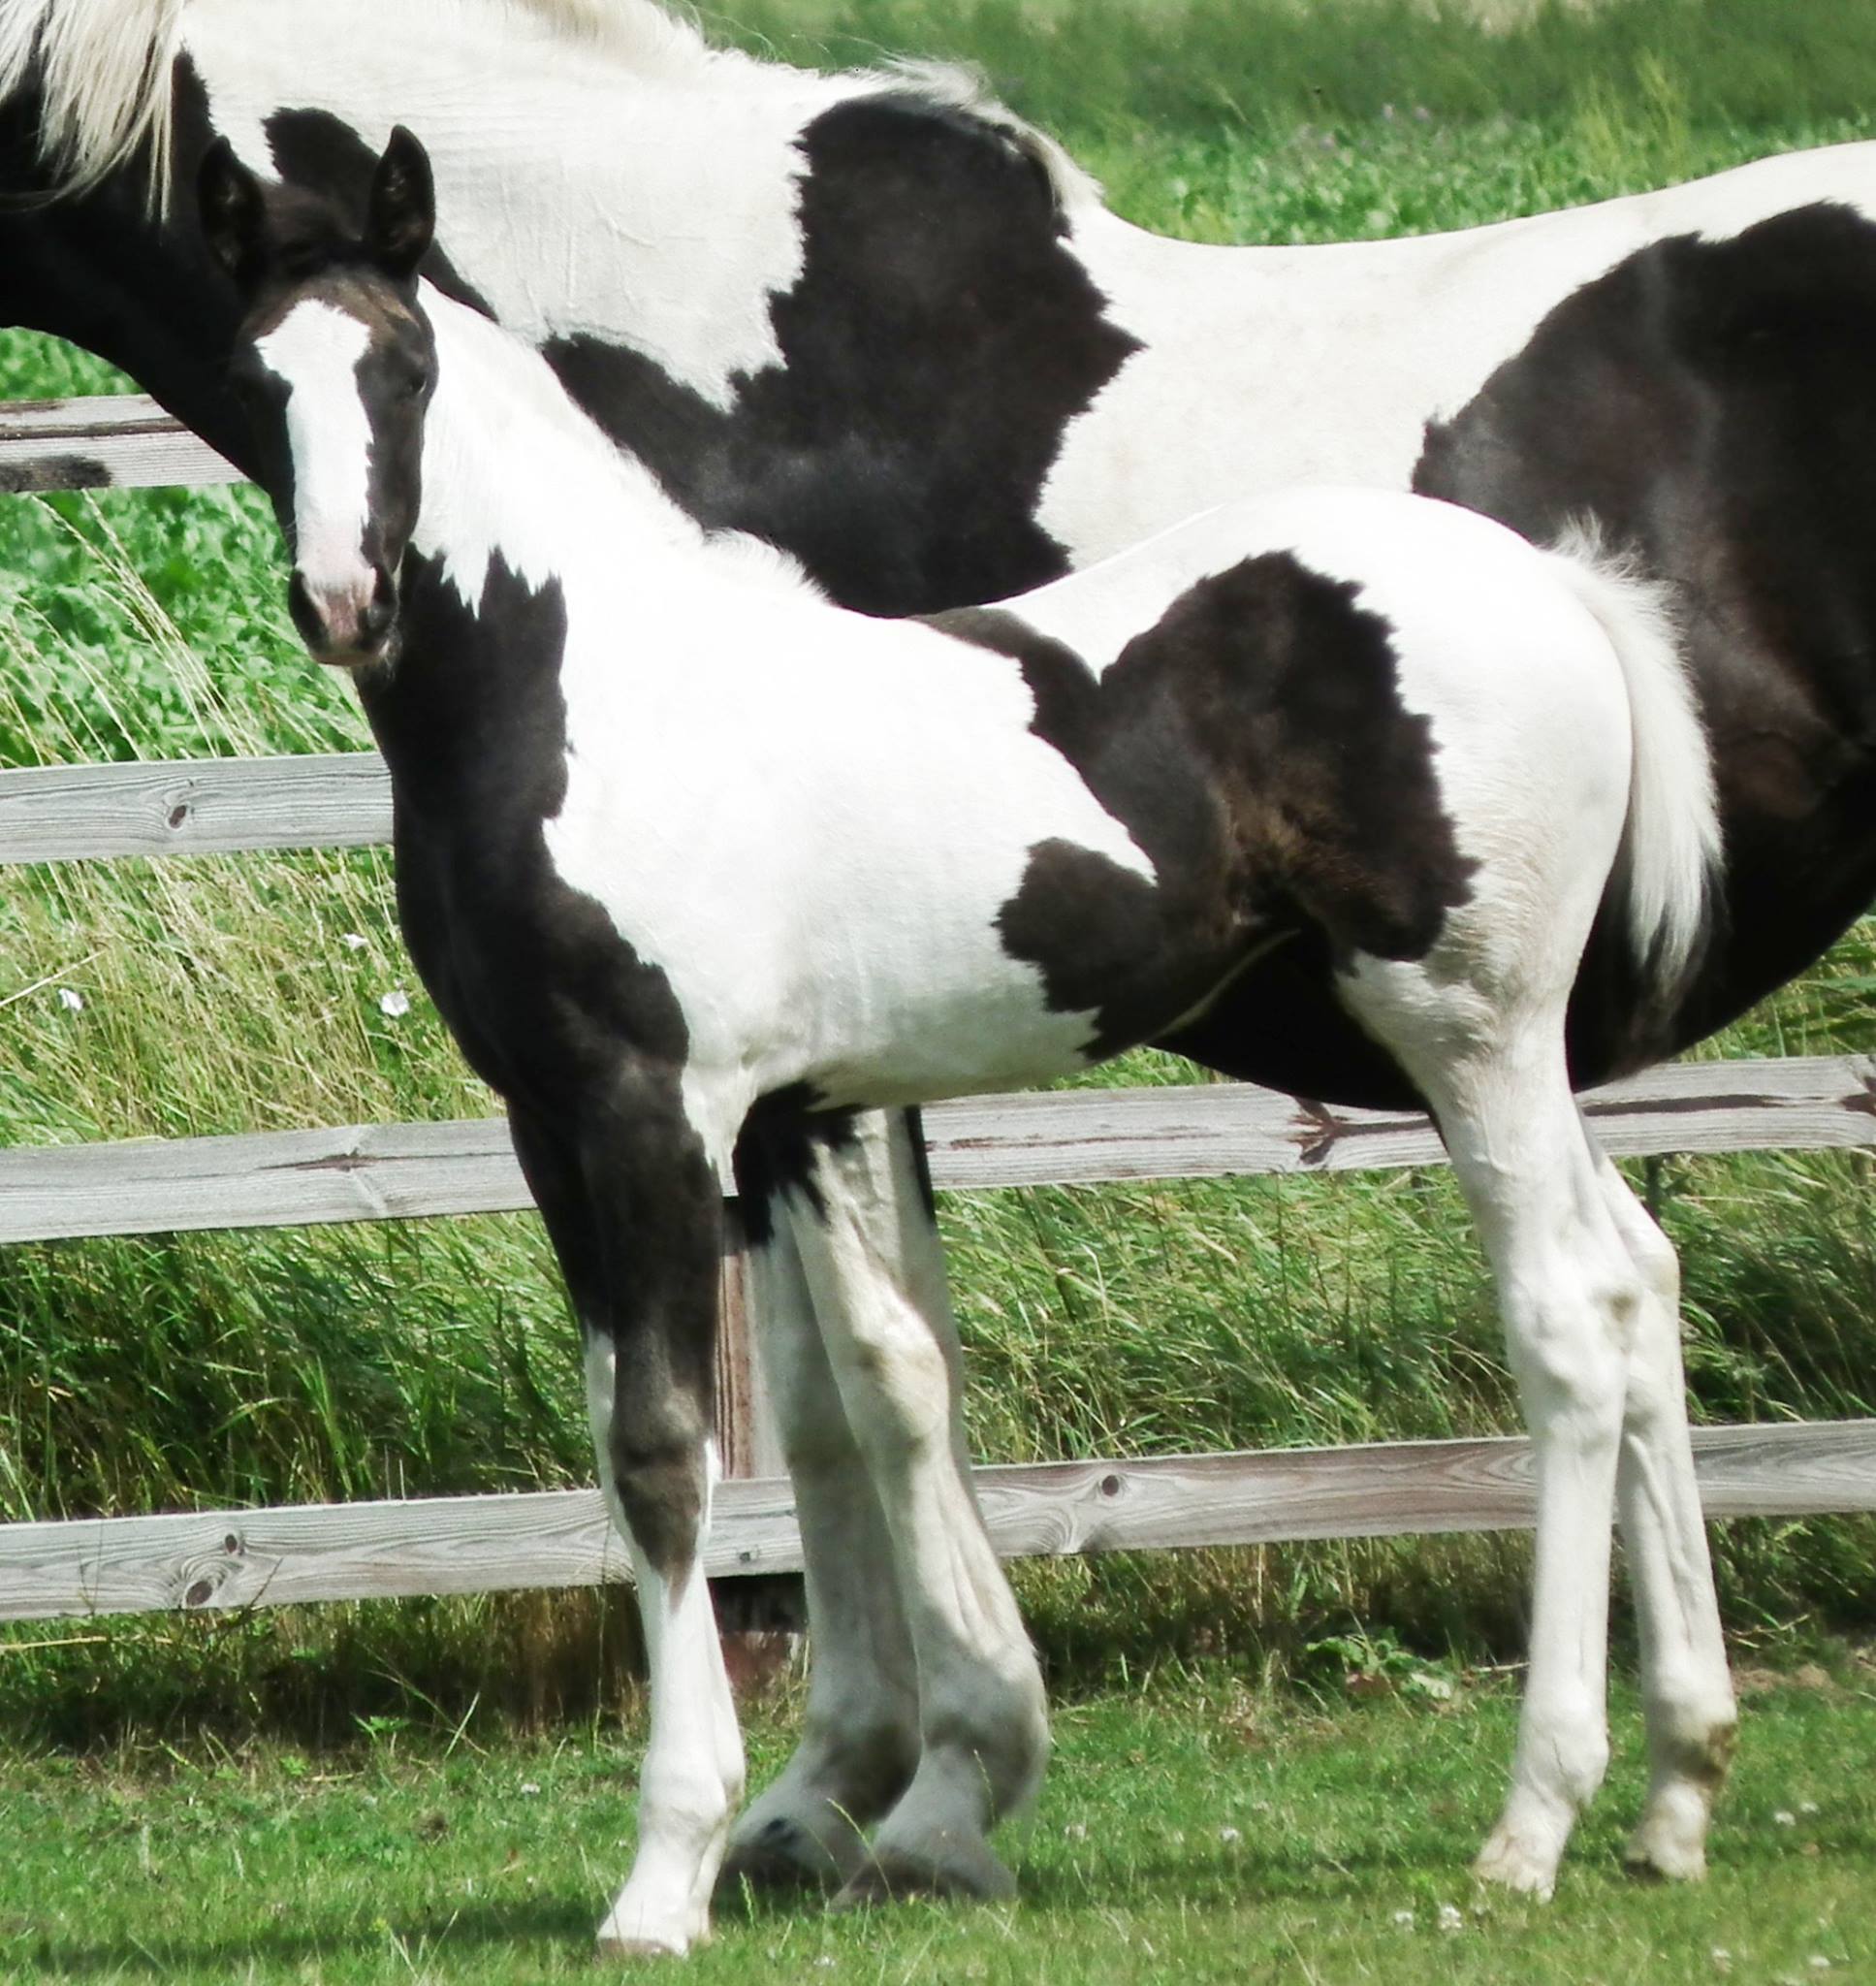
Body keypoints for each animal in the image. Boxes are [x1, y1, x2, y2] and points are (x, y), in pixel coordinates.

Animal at [208, 136, 1731, 1954]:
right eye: (259, 377)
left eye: (406, 370)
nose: (342, 598)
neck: (599, 696)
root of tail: (1554, 584)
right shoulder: (609, 1124)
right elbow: (735, 1418)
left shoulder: (651, 1113)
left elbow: (665, 1449)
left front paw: (665, 1870)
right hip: (1511, 1048)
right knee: (1633, 1274)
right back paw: (1673, 1794)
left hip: (1465, 1023)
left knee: (1565, 1315)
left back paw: (1533, 1820)